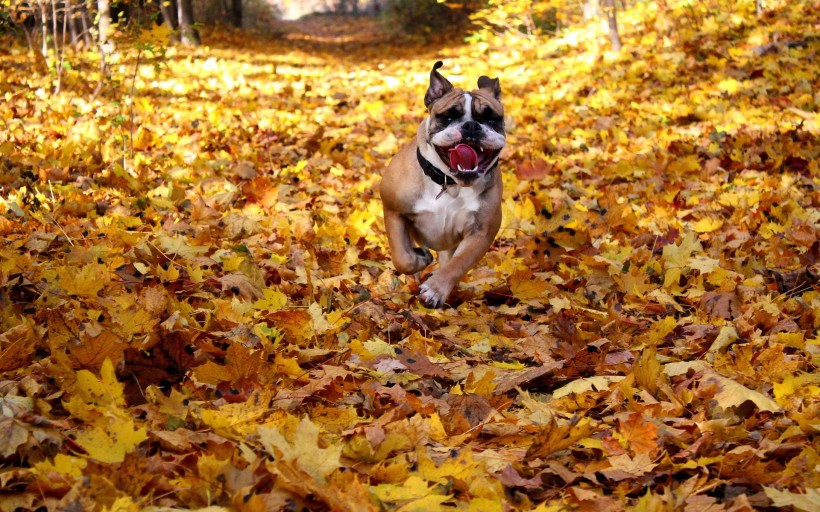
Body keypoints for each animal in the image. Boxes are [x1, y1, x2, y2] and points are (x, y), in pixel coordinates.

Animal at [380, 60, 506, 308]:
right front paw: (419, 259)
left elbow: (459, 263)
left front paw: (436, 289)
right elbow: (402, 257)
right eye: (448, 117)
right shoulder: (393, 210)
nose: (471, 126)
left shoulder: (480, 233)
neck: (450, 183)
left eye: (491, 119)